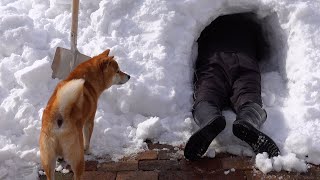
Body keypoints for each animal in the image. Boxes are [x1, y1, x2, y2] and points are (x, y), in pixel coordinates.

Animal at [39, 48, 130, 179]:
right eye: (117, 71)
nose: (129, 76)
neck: (87, 79)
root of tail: (59, 115)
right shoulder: (89, 120)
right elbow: (88, 139)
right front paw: (88, 150)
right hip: (78, 159)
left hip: (48, 160)